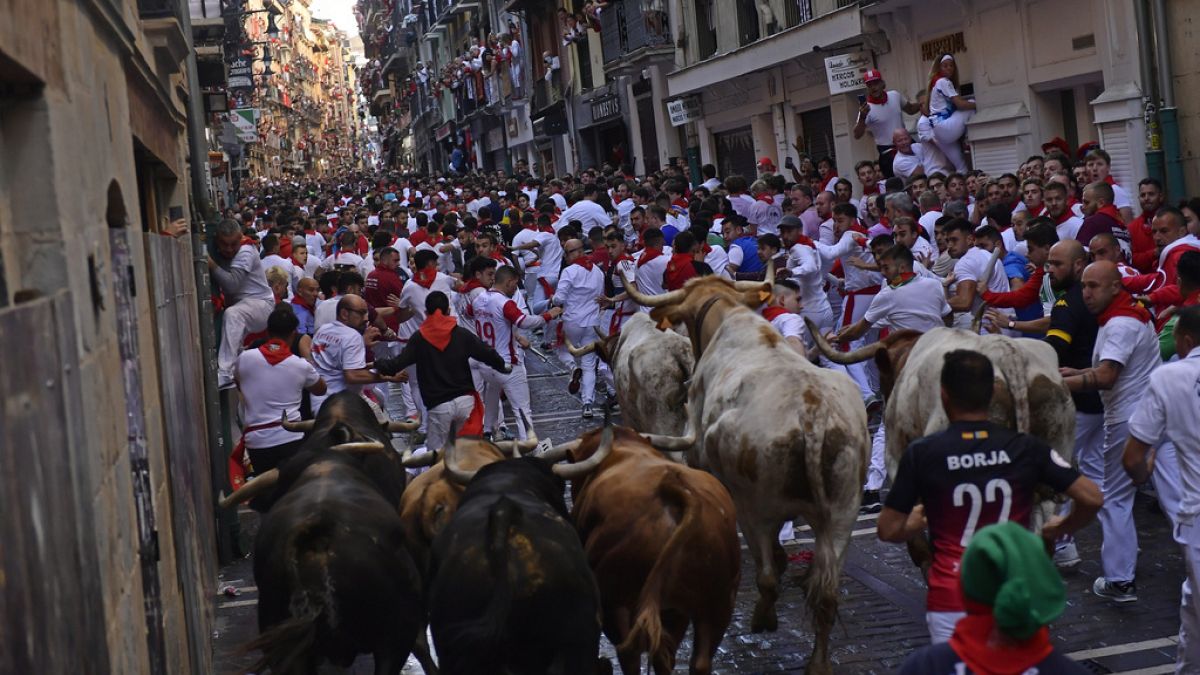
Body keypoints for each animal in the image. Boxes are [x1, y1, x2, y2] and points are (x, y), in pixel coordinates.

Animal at [564, 425, 739, 672]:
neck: (625, 448)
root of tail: (673, 487)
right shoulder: (675, 612)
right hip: (718, 603)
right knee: (694, 661)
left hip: (616, 598)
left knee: (629, 653)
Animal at [624, 270, 868, 667]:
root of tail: (812, 413)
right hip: (843, 513)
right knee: (826, 595)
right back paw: (817, 662)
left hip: (755, 508)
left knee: (767, 575)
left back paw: (763, 618)